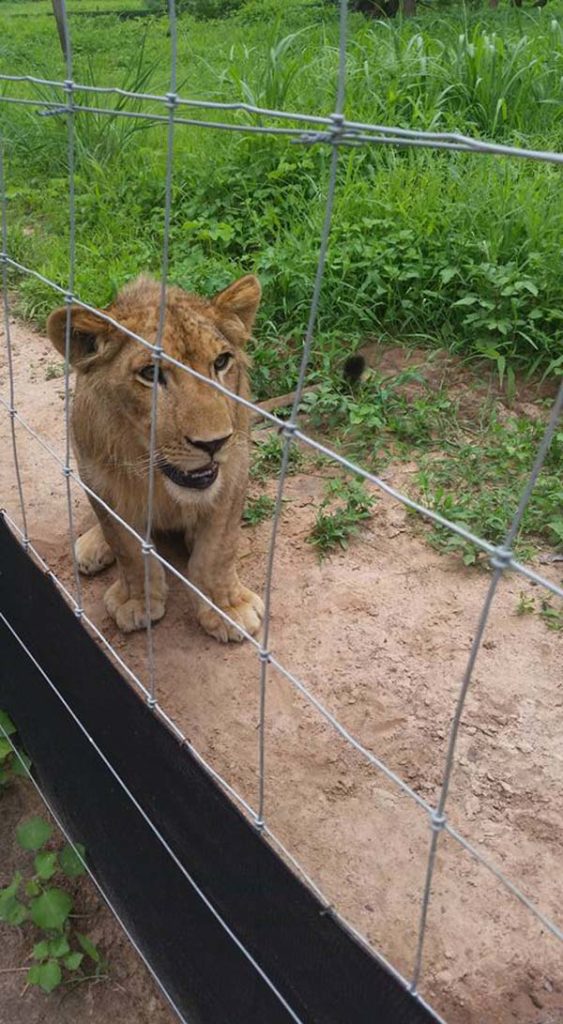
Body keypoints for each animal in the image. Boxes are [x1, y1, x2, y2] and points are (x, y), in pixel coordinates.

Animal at [46, 274, 264, 643]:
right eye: (150, 373)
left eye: (221, 362)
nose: (215, 442)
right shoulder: (98, 480)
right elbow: (128, 549)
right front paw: (136, 603)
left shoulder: (233, 472)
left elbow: (218, 552)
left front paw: (229, 609)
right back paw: (91, 546)